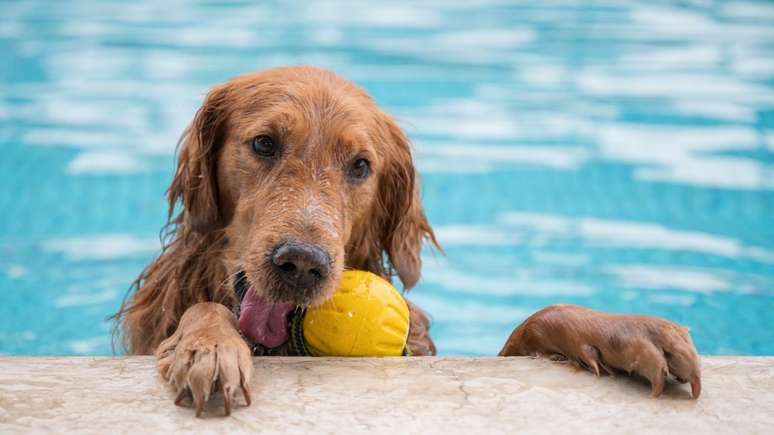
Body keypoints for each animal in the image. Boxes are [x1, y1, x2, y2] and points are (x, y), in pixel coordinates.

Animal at [113, 65, 704, 418]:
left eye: (360, 166)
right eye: (263, 144)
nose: (302, 264)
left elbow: (534, 322)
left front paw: (624, 330)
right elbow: (206, 310)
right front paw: (209, 344)